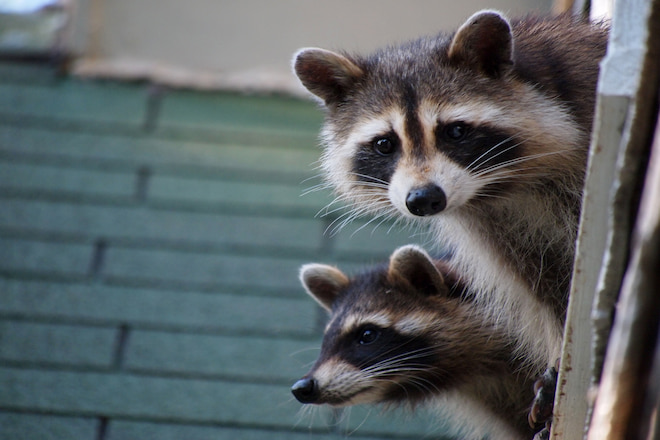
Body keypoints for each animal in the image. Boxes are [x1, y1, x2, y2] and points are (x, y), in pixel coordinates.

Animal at [293, 11, 608, 370]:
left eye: (455, 131)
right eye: (384, 144)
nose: (423, 199)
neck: (500, 186)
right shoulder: (500, 233)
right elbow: (543, 285)